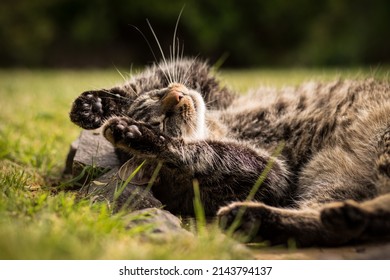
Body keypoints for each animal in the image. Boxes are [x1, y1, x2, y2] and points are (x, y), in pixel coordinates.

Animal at [70, 58, 390, 245]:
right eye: (163, 122)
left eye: (159, 96)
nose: (177, 94)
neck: (218, 125)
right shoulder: (273, 174)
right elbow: (202, 152)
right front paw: (140, 136)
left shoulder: (207, 82)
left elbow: (146, 80)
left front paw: (94, 106)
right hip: (335, 176)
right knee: (346, 226)